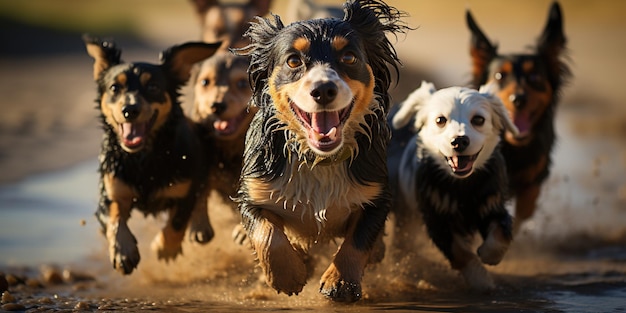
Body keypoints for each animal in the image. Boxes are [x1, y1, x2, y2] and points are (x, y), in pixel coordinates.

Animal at [83, 34, 219, 272]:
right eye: (114, 87)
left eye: (153, 86)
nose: (130, 110)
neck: (143, 157)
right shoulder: (111, 191)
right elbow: (114, 216)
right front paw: (123, 249)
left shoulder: (185, 190)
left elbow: (178, 220)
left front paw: (164, 248)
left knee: (203, 191)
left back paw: (200, 225)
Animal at [190, 51, 258, 241]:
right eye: (205, 82)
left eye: (242, 83)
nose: (217, 106)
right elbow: (199, 190)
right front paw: (199, 226)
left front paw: (244, 231)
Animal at [232, 0, 408, 302]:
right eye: (293, 61)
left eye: (349, 57)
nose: (324, 89)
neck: (319, 160)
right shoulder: (254, 191)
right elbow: (267, 234)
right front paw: (288, 275)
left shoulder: (376, 194)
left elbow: (359, 239)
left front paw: (341, 282)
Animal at [390, 81, 516, 292]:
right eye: (440, 120)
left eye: (478, 119)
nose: (459, 141)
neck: (462, 187)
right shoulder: (437, 218)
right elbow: (460, 252)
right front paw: (480, 279)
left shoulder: (492, 203)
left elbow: (501, 234)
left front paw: (489, 255)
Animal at [464, 1, 572, 232]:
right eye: (499, 76)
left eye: (535, 76)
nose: (519, 99)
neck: (514, 145)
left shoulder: (537, 169)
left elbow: (527, 201)